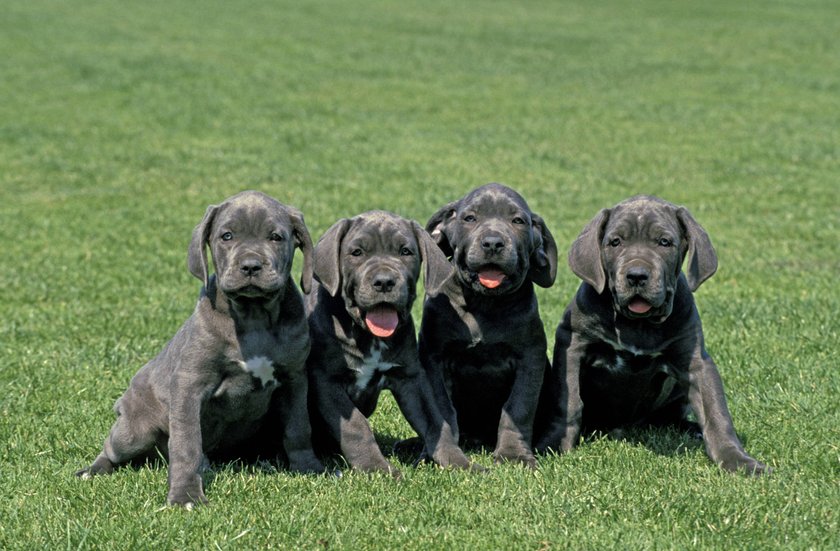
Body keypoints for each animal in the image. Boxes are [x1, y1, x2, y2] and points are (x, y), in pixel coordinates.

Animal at [76, 191, 324, 508]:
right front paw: (185, 495)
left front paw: (309, 468)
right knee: (112, 447)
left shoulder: (294, 379)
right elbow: (187, 444)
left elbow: (298, 428)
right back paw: (92, 470)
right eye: (227, 236)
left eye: (276, 237)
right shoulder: (189, 384)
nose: (251, 266)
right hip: (134, 431)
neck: (253, 316)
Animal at [306, 211, 480, 478]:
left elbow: (435, 421)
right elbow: (356, 427)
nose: (385, 282)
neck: (368, 336)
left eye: (405, 251)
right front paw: (376, 468)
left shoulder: (410, 377)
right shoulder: (327, 381)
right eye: (357, 252)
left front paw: (459, 462)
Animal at [420, 183, 556, 468]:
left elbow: (518, 408)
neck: (484, 304)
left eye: (517, 221)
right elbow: (442, 409)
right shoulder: (434, 358)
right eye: (470, 218)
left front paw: (514, 455)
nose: (493, 243)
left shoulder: (530, 357)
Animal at [540, 194, 768, 474]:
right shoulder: (573, 343)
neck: (638, 324)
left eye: (664, 242)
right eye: (615, 242)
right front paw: (554, 445)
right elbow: (569, 401)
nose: (637, 276)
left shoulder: (696, 361)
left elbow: (716, 412)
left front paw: (738, 460)